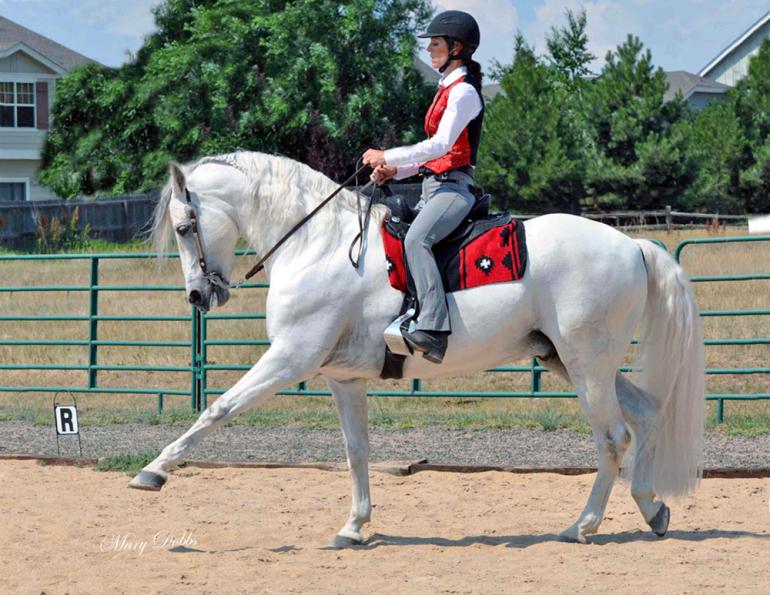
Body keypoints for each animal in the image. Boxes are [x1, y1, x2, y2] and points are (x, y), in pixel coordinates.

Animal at [129, 151, 705, 546]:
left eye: (185, 226)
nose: (198, 295)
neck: (318, 245)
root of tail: (632, 245)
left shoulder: (290, 358)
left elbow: (218, 409)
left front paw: (152, 472)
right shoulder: (342, 378)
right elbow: (356, 451)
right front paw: (354, 526)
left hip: (587, 367)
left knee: (612, 438)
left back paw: (581, 526)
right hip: (571, 362)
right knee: (647, 414)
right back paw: (652, 510)